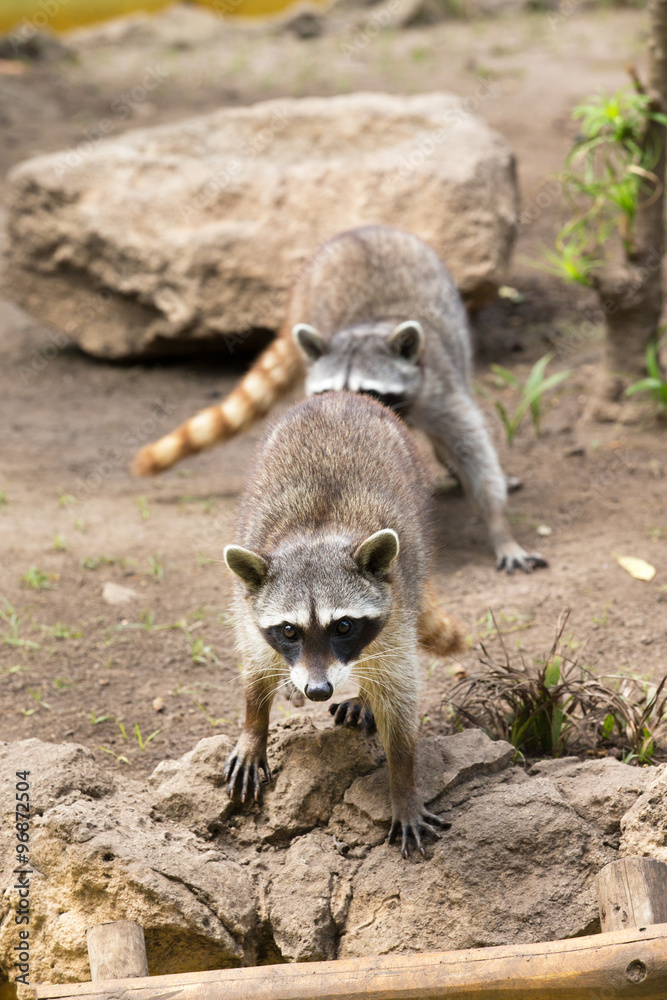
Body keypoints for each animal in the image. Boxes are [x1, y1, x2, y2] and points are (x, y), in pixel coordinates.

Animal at [133, 225, 545, 574]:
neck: (370, 328)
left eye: (370, 390)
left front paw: (500, 526)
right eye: (330, 391)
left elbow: (473, 450)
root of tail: (361, 230)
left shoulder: (440, 390)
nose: (346, 413)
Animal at [223, 391, 453, 857]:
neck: (317, 534)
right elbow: (256, 666)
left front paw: (403, 783)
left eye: (343, 626)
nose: (317, 690)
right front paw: (253, 726)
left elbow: (399, 694)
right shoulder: (249, 607)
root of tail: (341, 395)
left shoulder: (396, 610)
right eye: (289, 631)